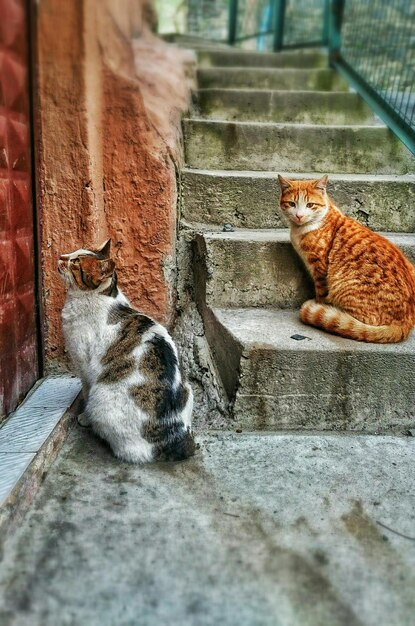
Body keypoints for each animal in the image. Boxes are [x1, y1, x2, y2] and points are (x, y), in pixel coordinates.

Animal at [278, 173, 415, 342]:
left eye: (310, 205)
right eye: (292, 204)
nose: (299, 215)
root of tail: (406, 323)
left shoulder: (319, 268)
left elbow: (320, 292)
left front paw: (319, 304)